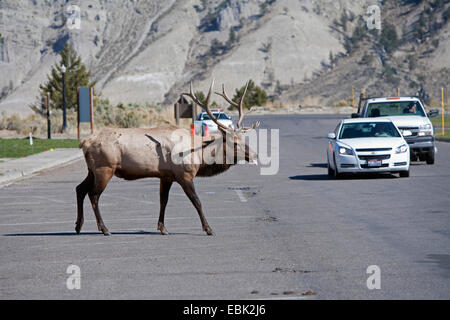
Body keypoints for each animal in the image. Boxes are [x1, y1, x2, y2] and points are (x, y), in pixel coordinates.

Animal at [76, 80, 260, 235]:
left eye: (243, 138)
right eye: (234, 142)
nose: (254, 154)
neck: (200, 155)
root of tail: (84, 142)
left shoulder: (166, 176)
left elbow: (163, 201)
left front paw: (162, 228)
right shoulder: (184, 174)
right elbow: (197, 201)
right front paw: (208, 229)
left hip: (92, 170)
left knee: (80, 189)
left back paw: (78, 226)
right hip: (105, 168)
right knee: (93, 195)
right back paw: (104, 228)